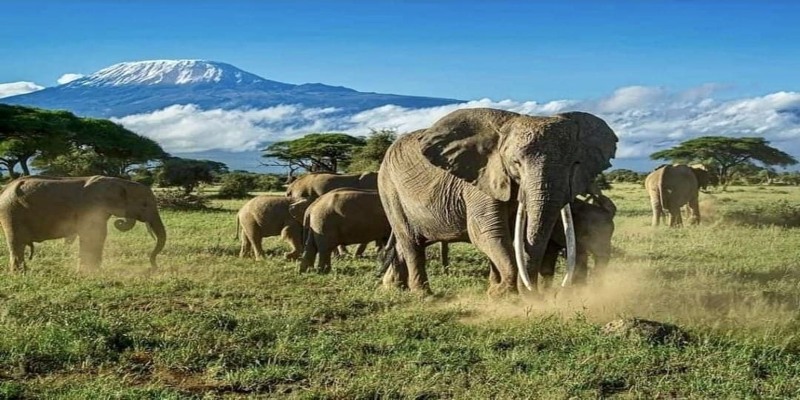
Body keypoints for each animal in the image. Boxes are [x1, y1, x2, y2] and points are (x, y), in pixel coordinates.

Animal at [0, 175, 166, 272]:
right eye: (144, 205)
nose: (154, 267)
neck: (120, 182)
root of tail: (6, 188)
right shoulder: (92, 208)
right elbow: (96, 234)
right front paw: (92, 272)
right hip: (10, 212)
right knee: (16, 243)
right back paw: (19, 273)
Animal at [378, 108, 618, 295]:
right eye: (516, 163)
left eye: (574, 164)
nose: (537, 294)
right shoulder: (480, 178)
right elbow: (489, 231)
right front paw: (502, 293)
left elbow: (509, 234)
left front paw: (496, 290)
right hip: (389, 188)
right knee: (410, 243)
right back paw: (423, 295)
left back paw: (394, 287)